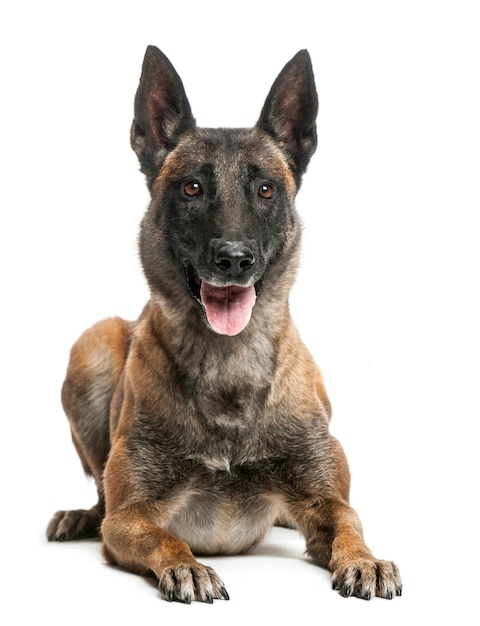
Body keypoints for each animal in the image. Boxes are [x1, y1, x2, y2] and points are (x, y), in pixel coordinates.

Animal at [47, 46, 402, 604]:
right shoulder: (130, 518)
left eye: (266, 190)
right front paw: (186, 566)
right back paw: (79, 516)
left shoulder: (327, 499)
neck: (228, 365)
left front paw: (365, 561)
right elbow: (161, 536)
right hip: (93, 345)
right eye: (192, 187)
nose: (234, 259)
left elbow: (350, 525)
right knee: (101, 499)